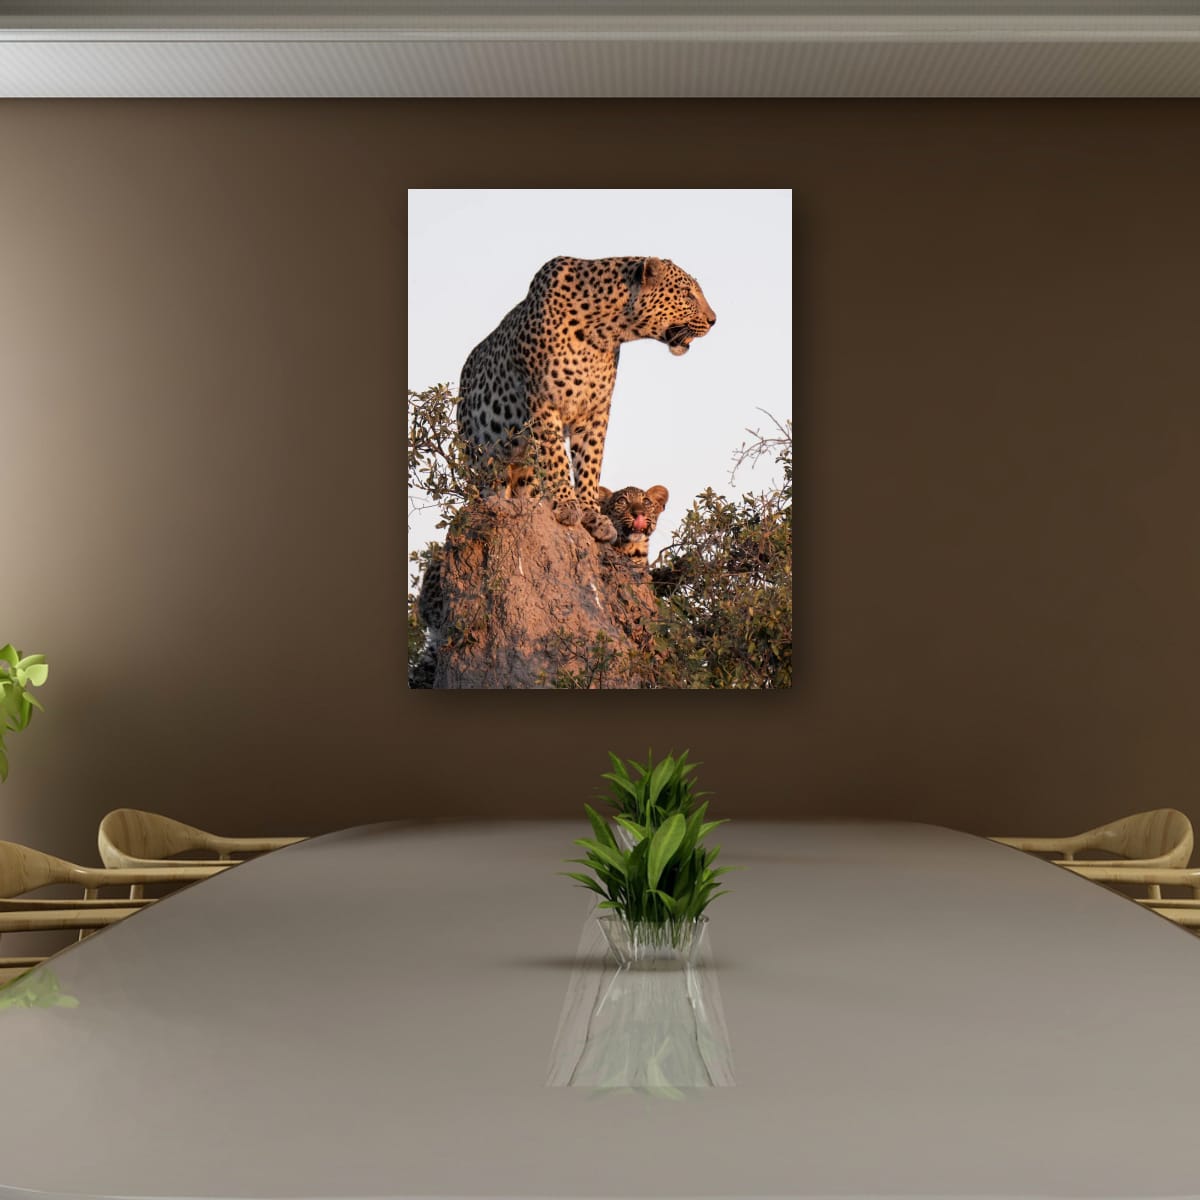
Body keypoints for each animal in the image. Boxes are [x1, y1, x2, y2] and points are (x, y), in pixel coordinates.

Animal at [456, 256, 715, 544]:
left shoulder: (595, 410)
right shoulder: (543, 401)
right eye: (688, 294)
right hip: (481, 455)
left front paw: (593, 515)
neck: (605, 330)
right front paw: (567, 505)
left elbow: (590, 462)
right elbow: (557, 457)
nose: (713, 320)